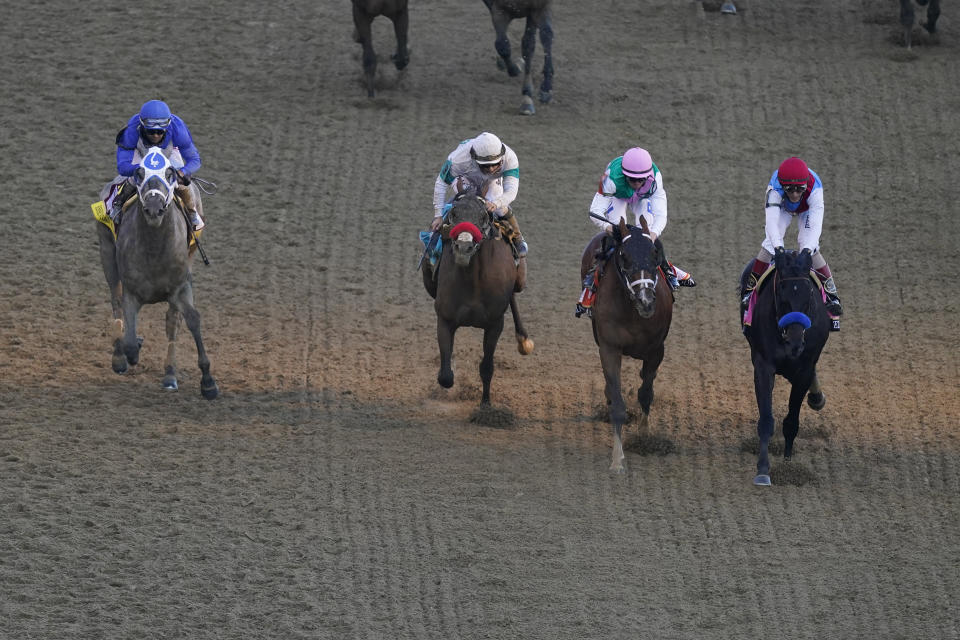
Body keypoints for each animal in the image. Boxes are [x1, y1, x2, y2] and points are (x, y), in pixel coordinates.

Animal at [96, 148, 218, 398]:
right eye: (139, 173)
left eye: (170, 173)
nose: (154, 208)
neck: (154, 248)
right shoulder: (132, 292)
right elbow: (129, 338)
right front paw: (129, 350)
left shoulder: (180, 287)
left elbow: (190, 319)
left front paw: (208, 382)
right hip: (106, 252)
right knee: (115, 301)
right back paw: (119, 357)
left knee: (172, 320)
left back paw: (170, 374)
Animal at [424, 195, 536, 402]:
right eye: (453, 214)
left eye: (483, 217)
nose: (464, 247)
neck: (473, 281)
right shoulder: (444, 319)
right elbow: (446, 376)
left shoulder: (495, 324)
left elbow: (487, 368)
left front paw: (486, 404)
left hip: (519, 281)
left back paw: (524, 340)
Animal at [580, 218, 672, 472]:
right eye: (624, 256)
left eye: (654, 253)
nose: (646, 301)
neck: (633, 312)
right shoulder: (609, 348)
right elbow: (618, 404)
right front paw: (617, 458)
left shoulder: (656, 349)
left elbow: (646, 393)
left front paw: (645, 435)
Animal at [740, 246, 828, 484]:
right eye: (781, 293)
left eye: (809, 295)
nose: (795, 343)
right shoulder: (763, 365)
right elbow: (766, 420)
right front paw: (763, 470)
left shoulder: (805, 367)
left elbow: (791, 421)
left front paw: (788, 462)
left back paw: (816, 397)